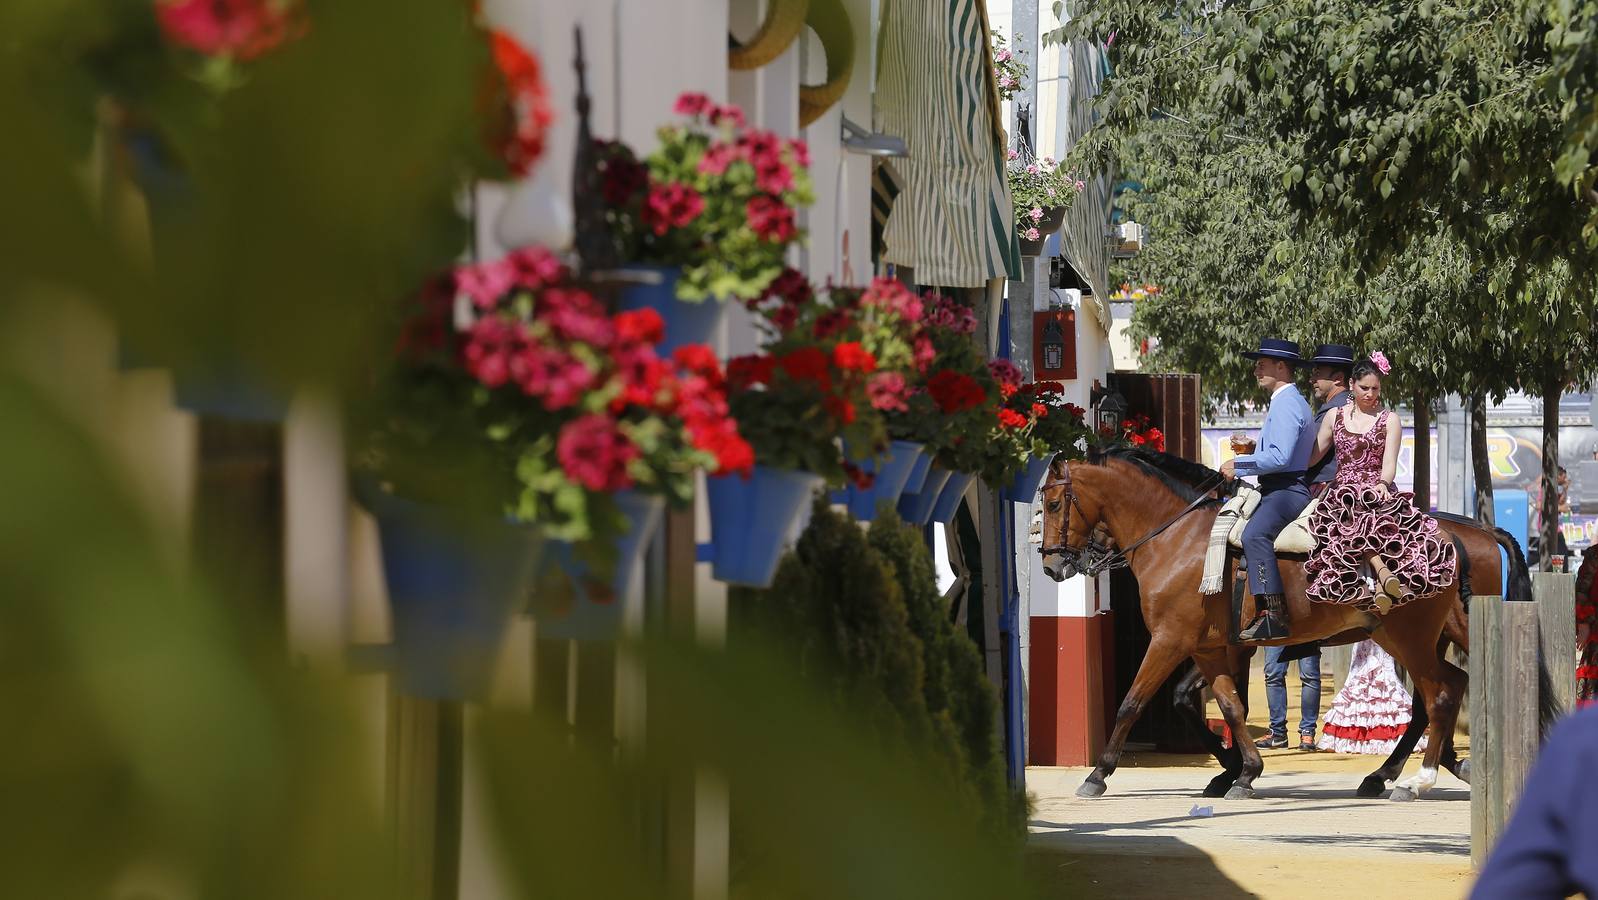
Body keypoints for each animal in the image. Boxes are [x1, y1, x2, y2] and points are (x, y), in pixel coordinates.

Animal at [1035, 450, 1546, 802]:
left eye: (1055, 503)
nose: (1052, 567)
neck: (1179, 539)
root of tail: (1461, 535)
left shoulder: (1170, 641)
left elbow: (1132, 702)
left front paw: (1098, 773)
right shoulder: (1207, 648)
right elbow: (1226, 704)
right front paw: (1242, 771)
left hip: (1413, 636)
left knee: (1440, 694)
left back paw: (1418, 779)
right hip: (1416, 638)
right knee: (1441, 692)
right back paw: (1401, 772)